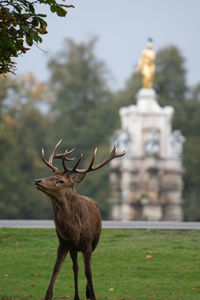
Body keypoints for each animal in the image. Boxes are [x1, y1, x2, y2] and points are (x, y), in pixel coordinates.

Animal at [34, 141, 125, 300]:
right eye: (51, 175)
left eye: (60, 181)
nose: (37, 180)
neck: (74, 230)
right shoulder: (63, 243)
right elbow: (56, 268)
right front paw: (48, 295)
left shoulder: (87, 244)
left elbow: (88, 272)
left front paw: (93, 295)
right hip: (74, 249)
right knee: (75, 268)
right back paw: (77, 296)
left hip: (94, 242)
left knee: (86, 267)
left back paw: (87, 291)